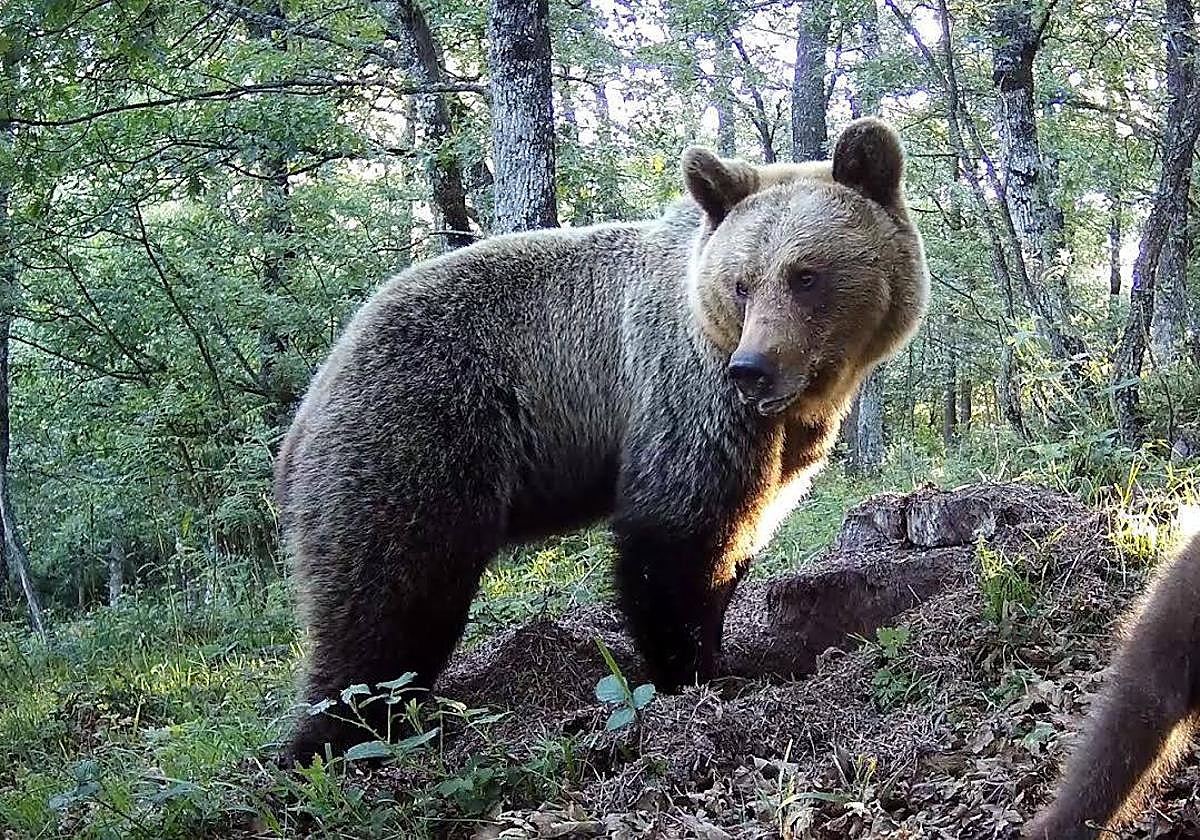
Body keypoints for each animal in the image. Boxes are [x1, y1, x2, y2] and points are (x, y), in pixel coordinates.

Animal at [275, 117, 930, 765]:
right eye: (743, 284)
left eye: (806, 275)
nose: (753, 368)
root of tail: (313, 399)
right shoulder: (686, 394)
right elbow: (676, 535)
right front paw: (693, 672)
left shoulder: (783, 442)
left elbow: (743, 529)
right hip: (419, 432)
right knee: (388, 596)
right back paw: (332, 737)